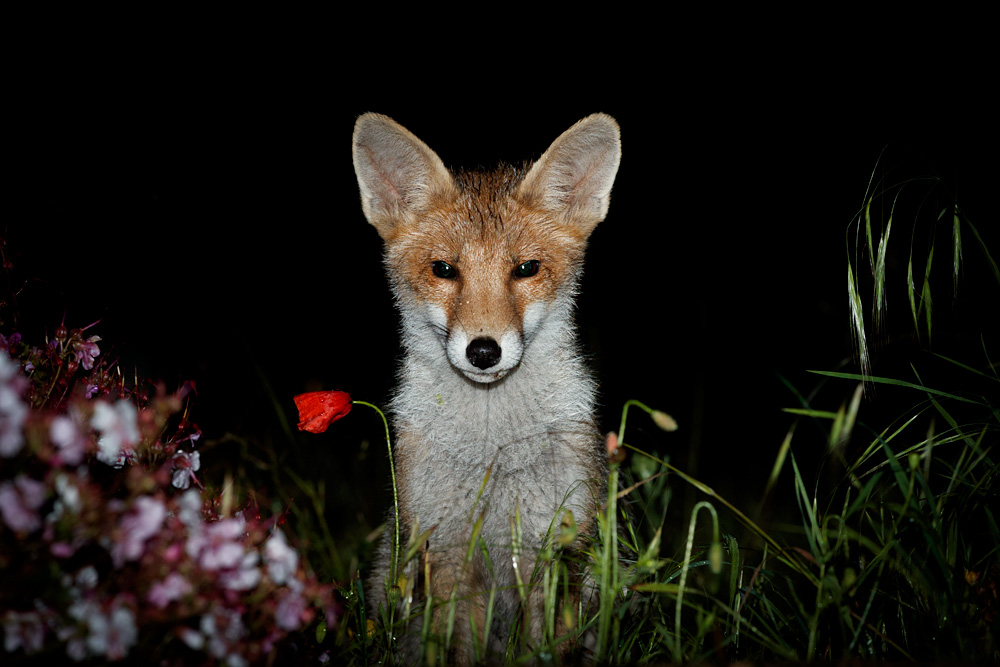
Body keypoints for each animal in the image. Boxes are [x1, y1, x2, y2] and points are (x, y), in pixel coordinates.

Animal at [352, 112, 621, 664]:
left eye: (525, 269)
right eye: (443, 270)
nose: (483, 351)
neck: (493, 451)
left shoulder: (554, 549)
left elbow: (549, 646)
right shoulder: (447, 552)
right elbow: (457, 646)